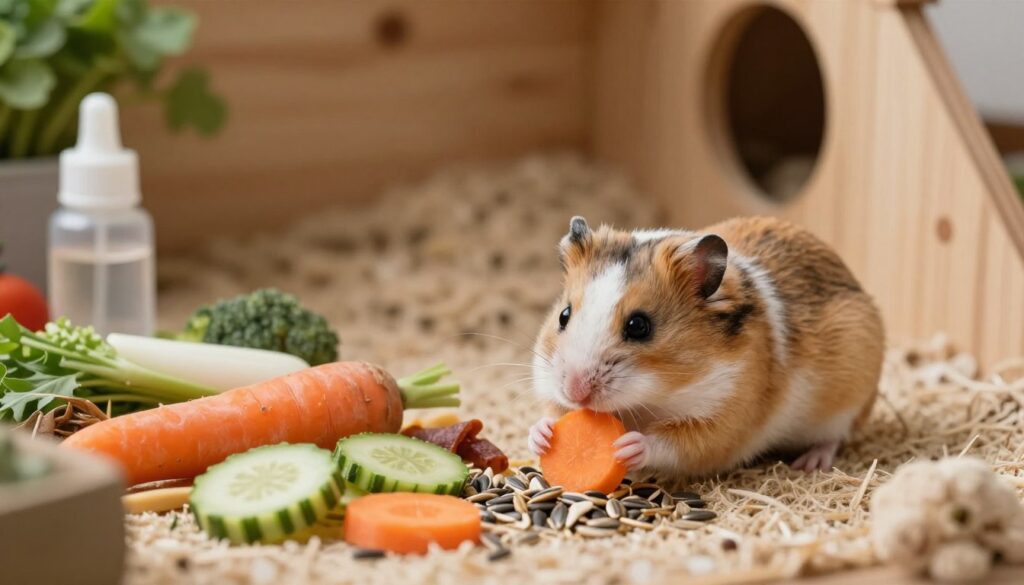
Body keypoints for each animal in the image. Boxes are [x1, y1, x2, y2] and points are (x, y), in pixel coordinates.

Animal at [528, 216, 884, 476]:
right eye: (563, 315)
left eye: (639, 326)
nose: (575, 392)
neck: (650, 399)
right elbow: (550, 413)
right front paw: (542, 435)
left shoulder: (722, 419)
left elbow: (672, 444)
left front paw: (627, 446)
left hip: (848, 401)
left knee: (836, 436)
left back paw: (810, 463)